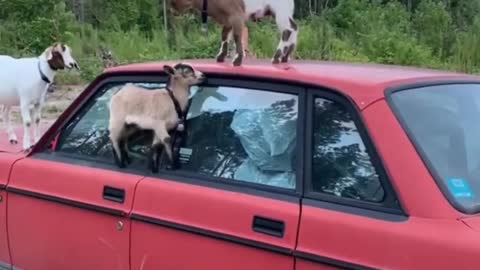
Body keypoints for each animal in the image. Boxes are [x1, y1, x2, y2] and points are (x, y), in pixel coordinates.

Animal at [168, 0, 296, 66]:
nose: (172, 10)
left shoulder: (236, 15)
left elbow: (236, 35)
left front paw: (237, 60)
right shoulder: (227, 19)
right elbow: (224, 35)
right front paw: (220, 57)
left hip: (280, 11)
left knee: (288, 30)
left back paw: (276, 58)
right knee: (294, 27)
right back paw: (285, 57)